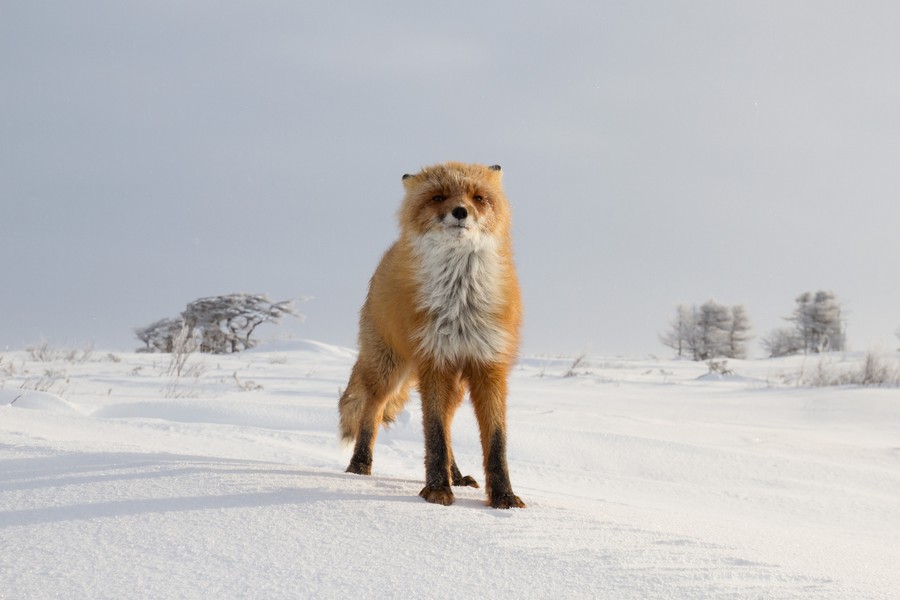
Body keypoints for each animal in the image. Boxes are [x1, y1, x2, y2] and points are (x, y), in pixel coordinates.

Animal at [340, 162, 528, 508]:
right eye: (438, 196)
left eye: (478, 197)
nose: (460, 211)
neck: (460, 303)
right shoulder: (435, 363)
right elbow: (435, 435)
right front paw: (438, 491)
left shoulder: (489, 366)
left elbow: (496, 442)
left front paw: (504, 498)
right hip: (389, 369)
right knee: (371, 411)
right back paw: (359, 465)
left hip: (454, 384)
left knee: (449, 424)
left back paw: (458, 475)